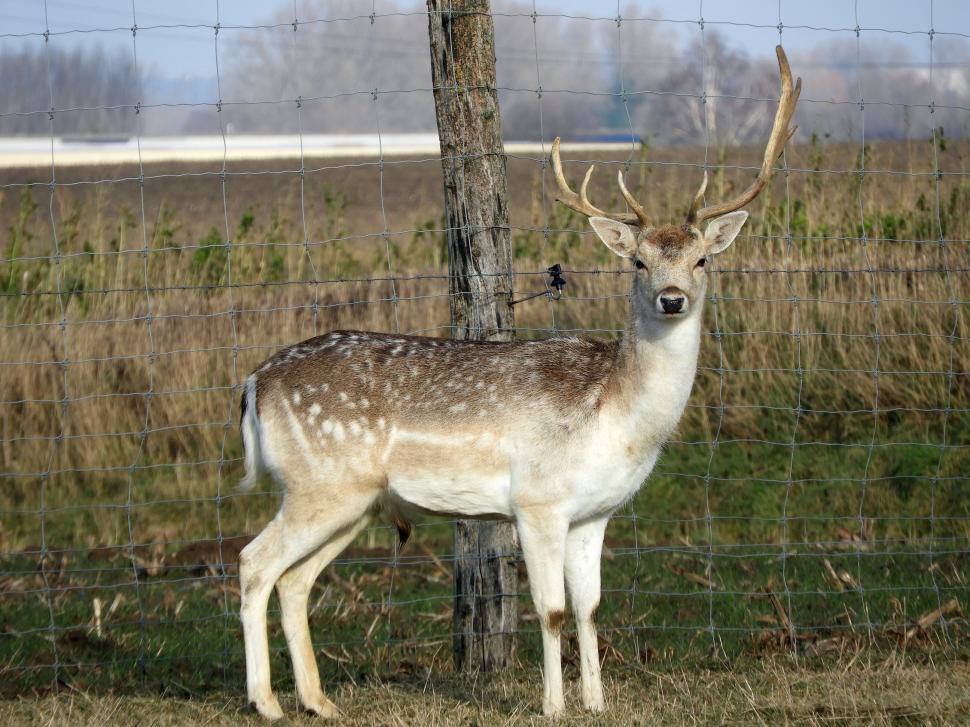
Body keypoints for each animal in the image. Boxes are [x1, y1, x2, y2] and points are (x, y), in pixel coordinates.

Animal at [236, 45, 800, 720]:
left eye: (702, 259)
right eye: (638, 261)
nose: (671, 298)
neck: (617, 417)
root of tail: (253, 385)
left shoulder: (592, 514)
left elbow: (589, 609)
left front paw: (596, 703)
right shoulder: (536, 501)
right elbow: (551, 611)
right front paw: (553, 706)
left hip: (353, 500)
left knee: (294, 579)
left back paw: (320, 702)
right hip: (320, 484)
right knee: (253, 563)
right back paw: (266, 703)